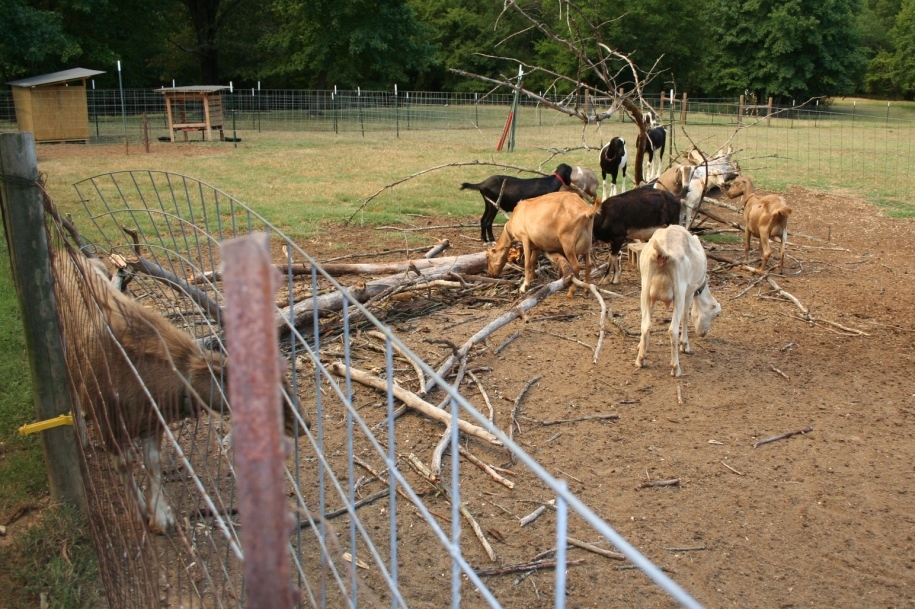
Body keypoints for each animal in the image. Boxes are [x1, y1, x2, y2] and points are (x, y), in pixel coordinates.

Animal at [54, 247, 304, 532]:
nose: (302, 422)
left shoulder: (152, 422)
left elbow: (153, 463)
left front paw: (162, 517)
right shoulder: (107, 420)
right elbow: (125, 464)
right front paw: (140, 512)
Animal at [636, 223, 724, 376]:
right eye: (716, 315)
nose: (703, 334)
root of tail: (663, 253)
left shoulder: (650, 298)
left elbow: (647, 321)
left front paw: (642, 346)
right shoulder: (689, 292)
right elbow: (686, 316)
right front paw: (685, 345)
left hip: (645, 285)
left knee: (646, 325)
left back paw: (640, 360)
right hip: (679, 288)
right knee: (673, 330)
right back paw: (676, 368)